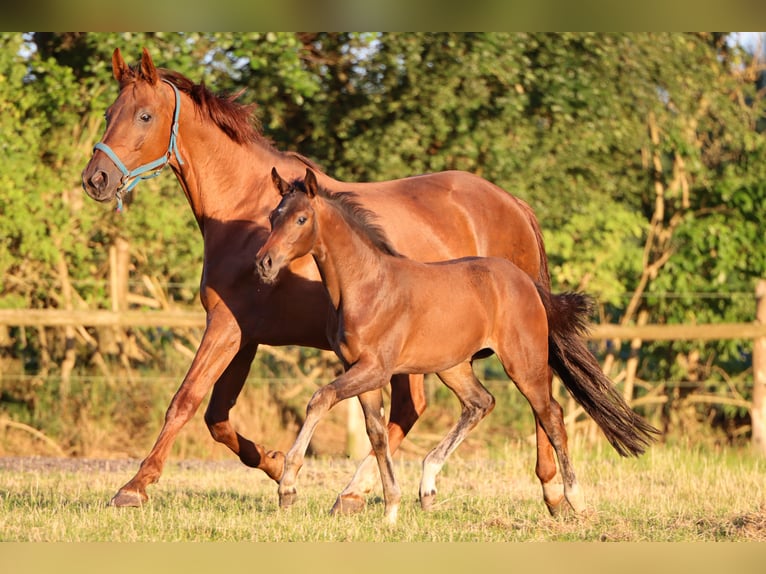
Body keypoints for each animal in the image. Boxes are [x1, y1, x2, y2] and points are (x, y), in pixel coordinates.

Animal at [81, 47, 567, 513]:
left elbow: (184, 402)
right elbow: (217, 417)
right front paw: (277, 465)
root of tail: (514, 205)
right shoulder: (247, 335)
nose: (96, 179)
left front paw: (134, 487)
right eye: (108, 113)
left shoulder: (225, 326)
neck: (244, 208)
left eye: (144, 115)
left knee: (538, 398)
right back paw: (357, 493)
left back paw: (553, 491)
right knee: (413, 409)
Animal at [255, 168, 659, 523]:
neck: (367, 285)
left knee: (551, 415)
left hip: (522, 363)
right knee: (481, 403)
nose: (264, 263)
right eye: (273, 216)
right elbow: (377, 434)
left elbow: (319, 399)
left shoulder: (375, 369)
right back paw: (428, 487)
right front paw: (390, 507)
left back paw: (573, 499)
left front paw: (287, 487)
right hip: (453, 366)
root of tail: (526, 282)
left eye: (302, 219)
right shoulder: (358, 370)